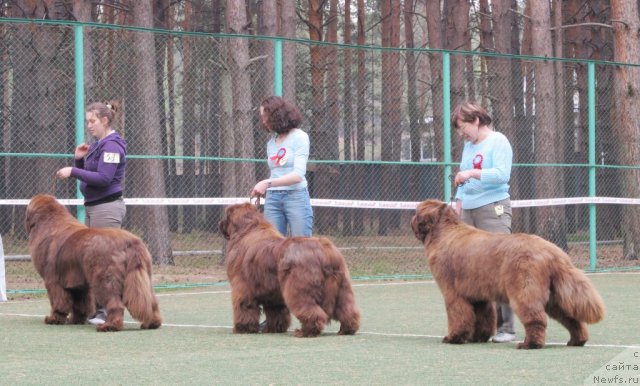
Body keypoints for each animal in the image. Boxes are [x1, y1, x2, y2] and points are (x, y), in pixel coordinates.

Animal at [25, 193, 162, 332]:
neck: (50, 221)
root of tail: (131, 242)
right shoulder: (78, 283)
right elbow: (80, 305)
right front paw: (76, 320)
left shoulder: (53, 280)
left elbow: (58, 302)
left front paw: (54, 319)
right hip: (142, 277)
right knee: (151, 301)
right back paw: (152, 323)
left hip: (104, 280)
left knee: (115, 303)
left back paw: (109, 326)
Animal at [219, 204, 360, 336]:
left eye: (226, 216)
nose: (220, 223)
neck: (248, 229)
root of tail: (324, 251)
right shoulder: (272, 292)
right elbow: (276, 311)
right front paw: (273, 328)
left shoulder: (242, 287)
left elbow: (244, 306)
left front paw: (242, 328)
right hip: (343, 288)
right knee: (347, 310)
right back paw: (346, 329)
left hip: (298, 288)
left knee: (312, 311)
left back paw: (304, 332)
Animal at [410, 201, 604, 348]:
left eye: (416, 211)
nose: (411, 219)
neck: (443, 233)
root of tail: (553, 252)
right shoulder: (477, 294)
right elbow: (483, 317)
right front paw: (477, 337)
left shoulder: (453, 292)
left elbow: (459, 315)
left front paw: (453, 338)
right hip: (553, 296)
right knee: (570, 317)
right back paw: (576, 340)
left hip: (524, 288)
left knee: (535, 317)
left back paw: (530, 344)